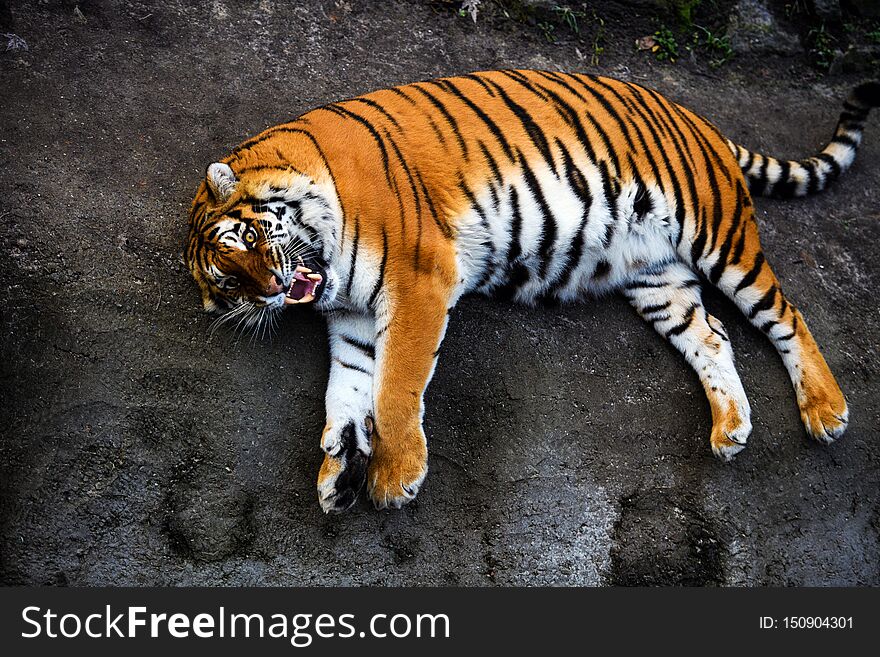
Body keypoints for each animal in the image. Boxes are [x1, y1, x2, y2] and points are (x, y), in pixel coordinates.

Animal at [182, 70, 876, 512]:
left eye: (248, 236)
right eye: (230, 285)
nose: (271, 288)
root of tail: (698, 119)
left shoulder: (419, 282)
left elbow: (394, 387)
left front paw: (395, 477)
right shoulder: (352, 322)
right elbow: (347, 391)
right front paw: (338, 474)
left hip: (719, 235)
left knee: (787, 315)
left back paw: (826, 411)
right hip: (656, 278)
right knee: (711, 337)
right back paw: (731, 429)